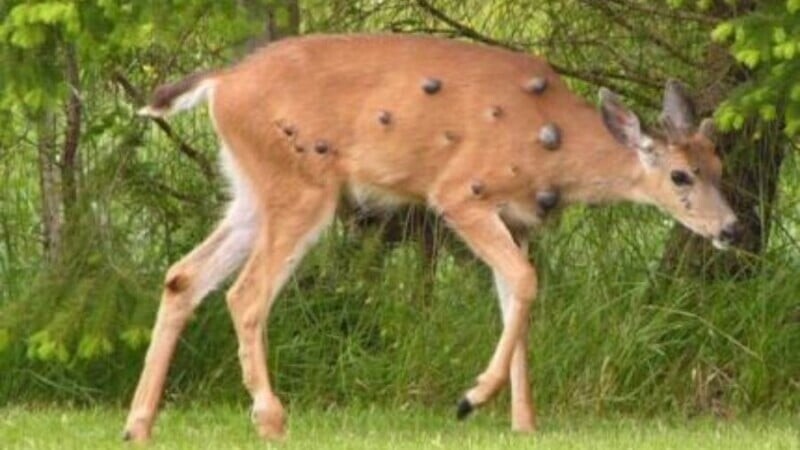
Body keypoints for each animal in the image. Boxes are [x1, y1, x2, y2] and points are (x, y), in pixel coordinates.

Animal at [124, 33, 741, 442]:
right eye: (681, 175)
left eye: (719, 164)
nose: (732, 228)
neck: (551, 144)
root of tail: (221, 84)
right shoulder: (462, 192)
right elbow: (526, 282)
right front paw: (471, 399)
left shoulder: (517, 219)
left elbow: (513, 298)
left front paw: (523, 423)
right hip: (300, 183)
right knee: (245, 292)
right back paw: (272, 420)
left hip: (251, 189)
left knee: (183, 276)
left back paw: (139, 425)